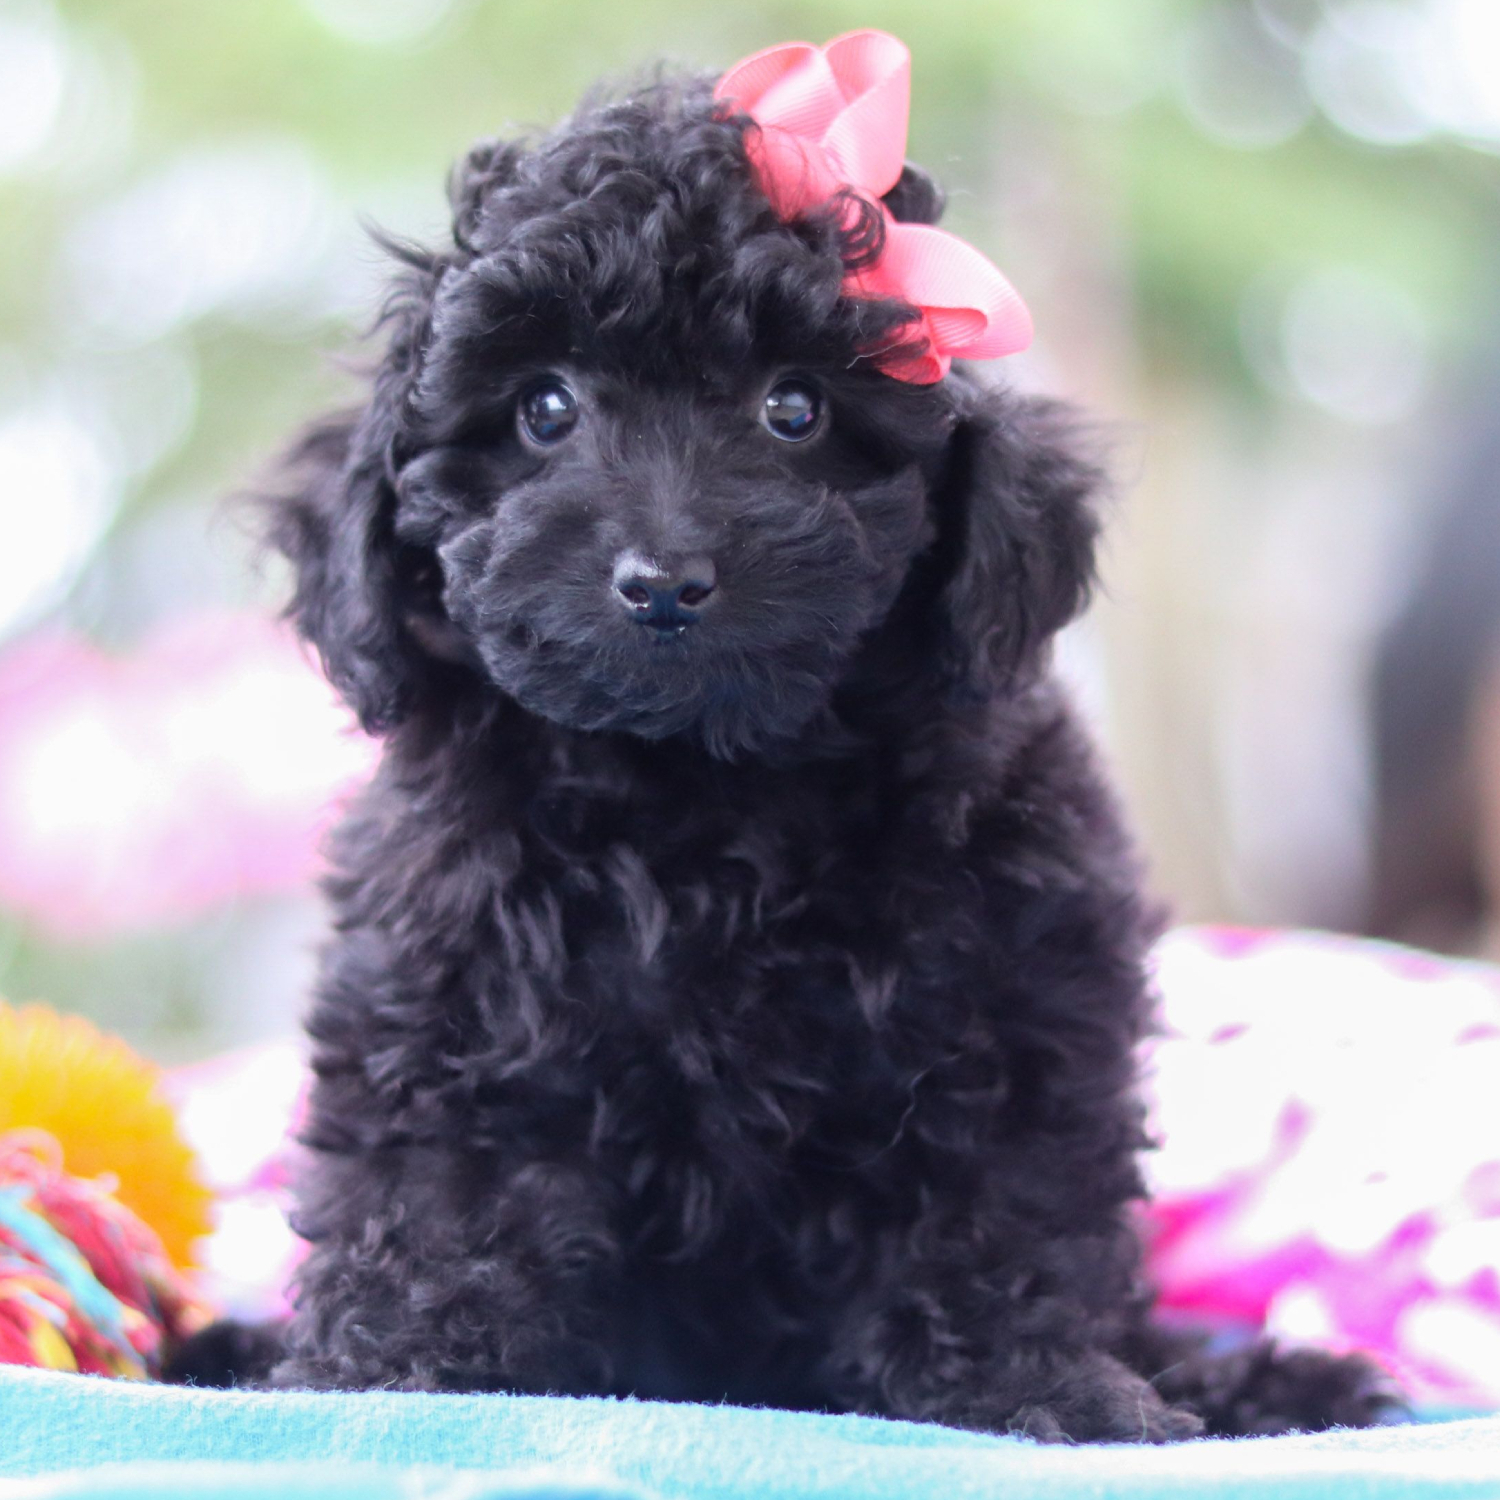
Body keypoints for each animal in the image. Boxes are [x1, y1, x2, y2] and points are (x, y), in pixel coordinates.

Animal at [234, 67, 1392, 1440]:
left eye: (795, 409)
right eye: (543, 408)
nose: (663, 581)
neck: (702, 784)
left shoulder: (1018, 1006)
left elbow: (993, 1217)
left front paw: (1035, 1388)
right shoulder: (451, 995)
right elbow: (440, 1195)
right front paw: (396, 1373)